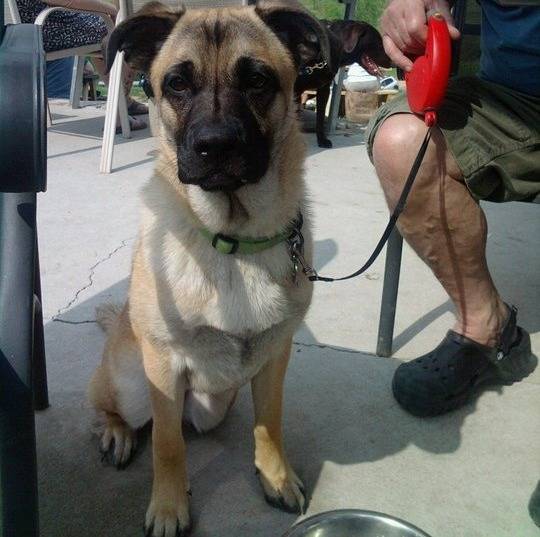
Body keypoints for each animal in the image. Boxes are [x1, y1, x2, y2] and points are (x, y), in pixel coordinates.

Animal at [87, 2, 330, 532]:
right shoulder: (162, 367)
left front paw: (275, 477)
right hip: (132, 383)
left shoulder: (274, 358)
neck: (234, 239)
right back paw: (117, 433)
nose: (215, 146)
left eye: (257, 80)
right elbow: (167, 446)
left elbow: (269, 424)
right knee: (120, 412)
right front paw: (168, 506)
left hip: (217, 402)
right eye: (177, 83)